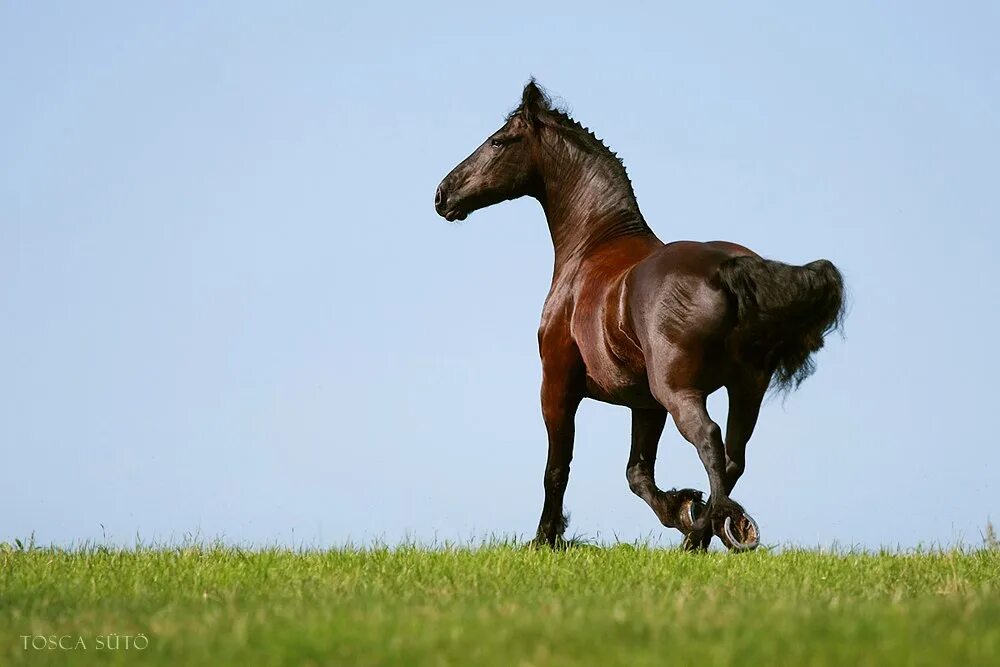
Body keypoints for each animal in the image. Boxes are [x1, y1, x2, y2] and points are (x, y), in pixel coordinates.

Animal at [432, 82, 844, 552]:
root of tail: (729, 267)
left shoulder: (557, 385)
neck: (594, 243)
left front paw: (545, 538)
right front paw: (683, 506)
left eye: (499, 141)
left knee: (709, 439)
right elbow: (638, 474)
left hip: (679, 390)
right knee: (732, 457)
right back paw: (707, 529)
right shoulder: (644, 404)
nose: (442, 195)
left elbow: (557, 468)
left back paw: (709, 532)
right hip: (745, 389)